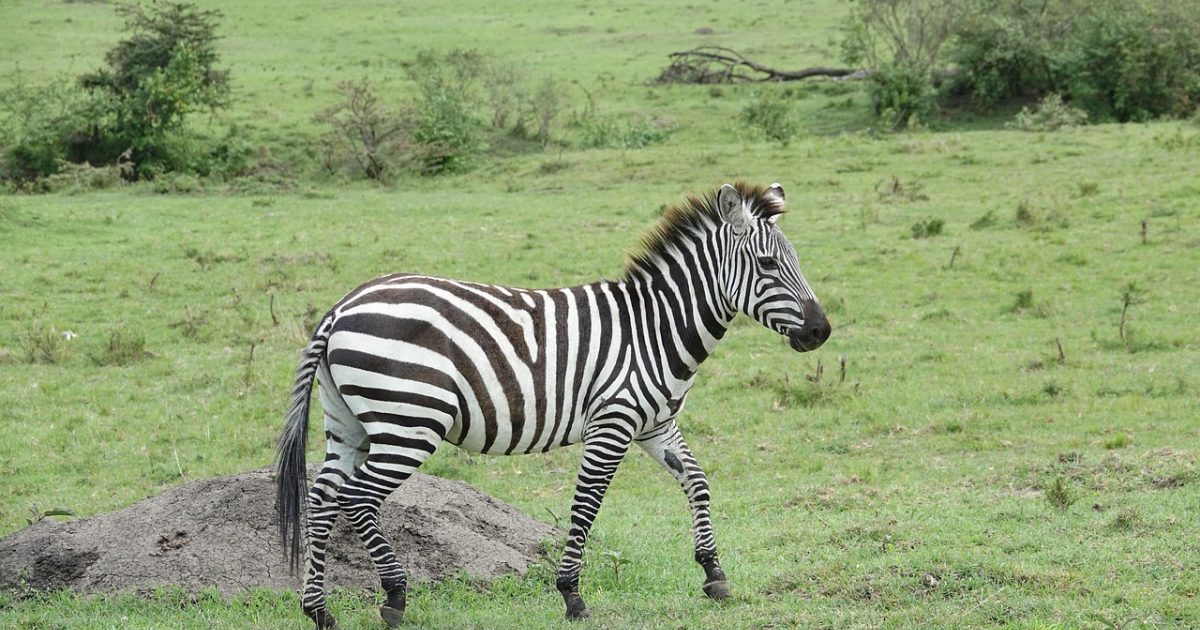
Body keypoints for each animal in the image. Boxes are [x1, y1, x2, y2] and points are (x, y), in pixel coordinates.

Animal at [276, 181, 831, 627]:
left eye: (798, 261)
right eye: (767, 264)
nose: (821, 332)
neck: (654, 328)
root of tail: (341, 306)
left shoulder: (656, 424)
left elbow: (697, 482)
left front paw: (713, 573)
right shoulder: (613, 422)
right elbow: (586, 506)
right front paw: (571, 596)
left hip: (349, 423)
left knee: (324, 498)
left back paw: (319, 610)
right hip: (409, 423)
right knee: (357, 498)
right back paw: (393, 597)